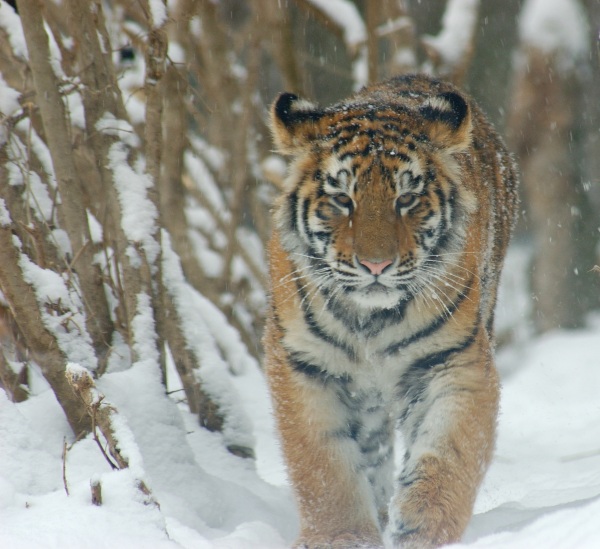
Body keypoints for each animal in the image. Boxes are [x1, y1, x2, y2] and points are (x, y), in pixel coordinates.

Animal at [264, 74, 516, 548]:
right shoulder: (305, 365)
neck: (370, 320)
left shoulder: (453, 360)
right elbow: (324, 469)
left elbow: (447, 454)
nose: (376, 265)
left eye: (407, 199)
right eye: (342, 199)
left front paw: (422, 528)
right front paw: (345, 537)